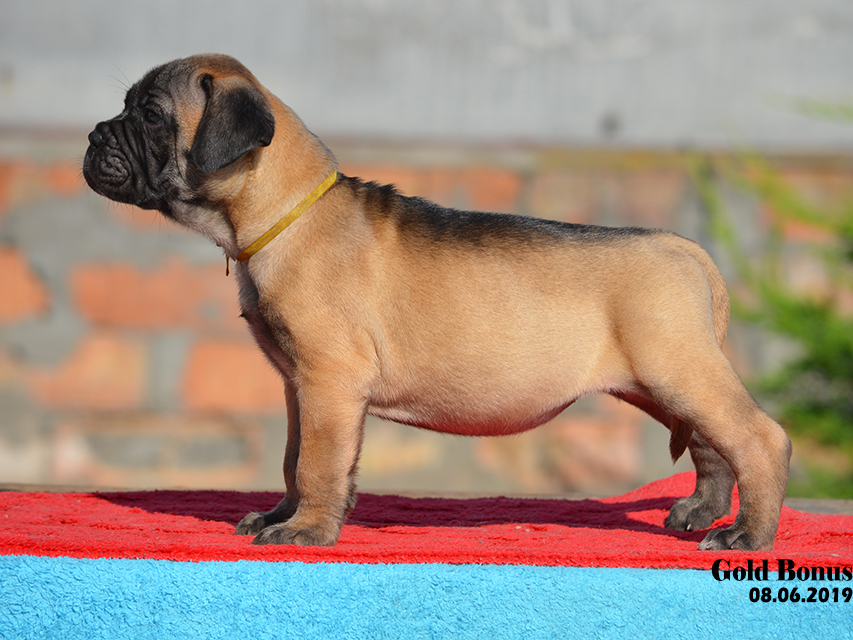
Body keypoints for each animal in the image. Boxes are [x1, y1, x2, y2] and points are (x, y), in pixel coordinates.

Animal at [83, 53, 788, 552]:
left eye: (150, 116)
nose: (92, 136)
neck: (285, 213)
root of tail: (681, 247)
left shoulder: (328, 381)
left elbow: (316, 461)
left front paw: (306, 530)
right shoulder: (300, 387)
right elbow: (293, 457)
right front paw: (284, 515)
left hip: (677, 369)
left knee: (760, 439)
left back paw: (746, 535)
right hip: (666, 382)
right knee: (712, 446)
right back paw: (701, 514)